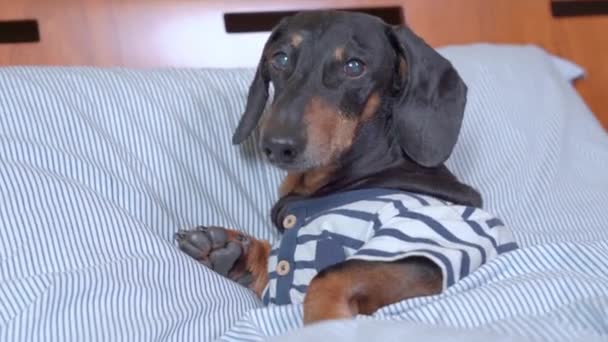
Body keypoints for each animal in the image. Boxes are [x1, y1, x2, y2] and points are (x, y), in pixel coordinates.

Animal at [175, 10, 516, 324]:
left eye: (354, 67)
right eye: (280, 58)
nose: (278, 145)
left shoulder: (428, 244)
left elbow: (330, 273)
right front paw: (230, 250)